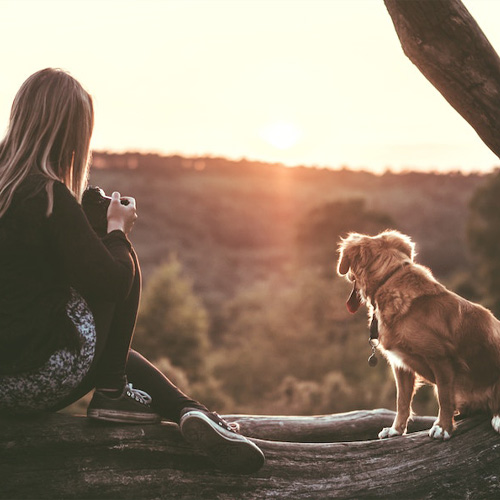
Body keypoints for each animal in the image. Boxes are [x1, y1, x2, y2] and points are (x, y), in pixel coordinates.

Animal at [338, 229, 500, 440]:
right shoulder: (401, 365)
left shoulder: (441, 358)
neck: (389, 280)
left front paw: (443, 427)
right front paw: (396, 429)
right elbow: (402, 401)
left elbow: (444, 398)